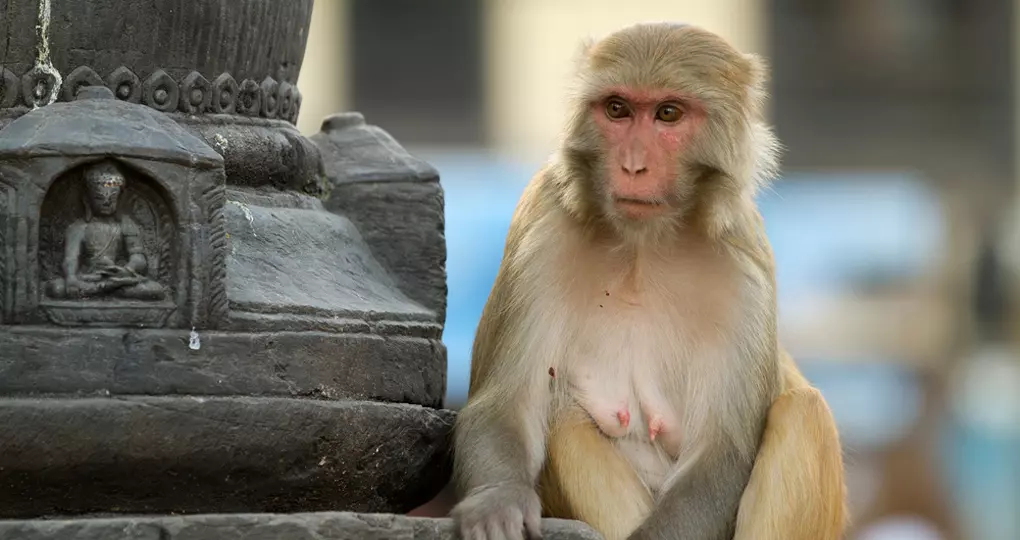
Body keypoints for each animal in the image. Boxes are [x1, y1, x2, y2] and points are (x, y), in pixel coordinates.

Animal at [450, 22, 846, 540]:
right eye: (617, 109)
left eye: (668, 114)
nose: (633, 165)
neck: (644, 245)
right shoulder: (541, 229)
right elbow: (504, 406)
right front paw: (497, 502)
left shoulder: (746, 264)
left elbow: (720, 455)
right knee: (564, 418)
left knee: (804, 412)